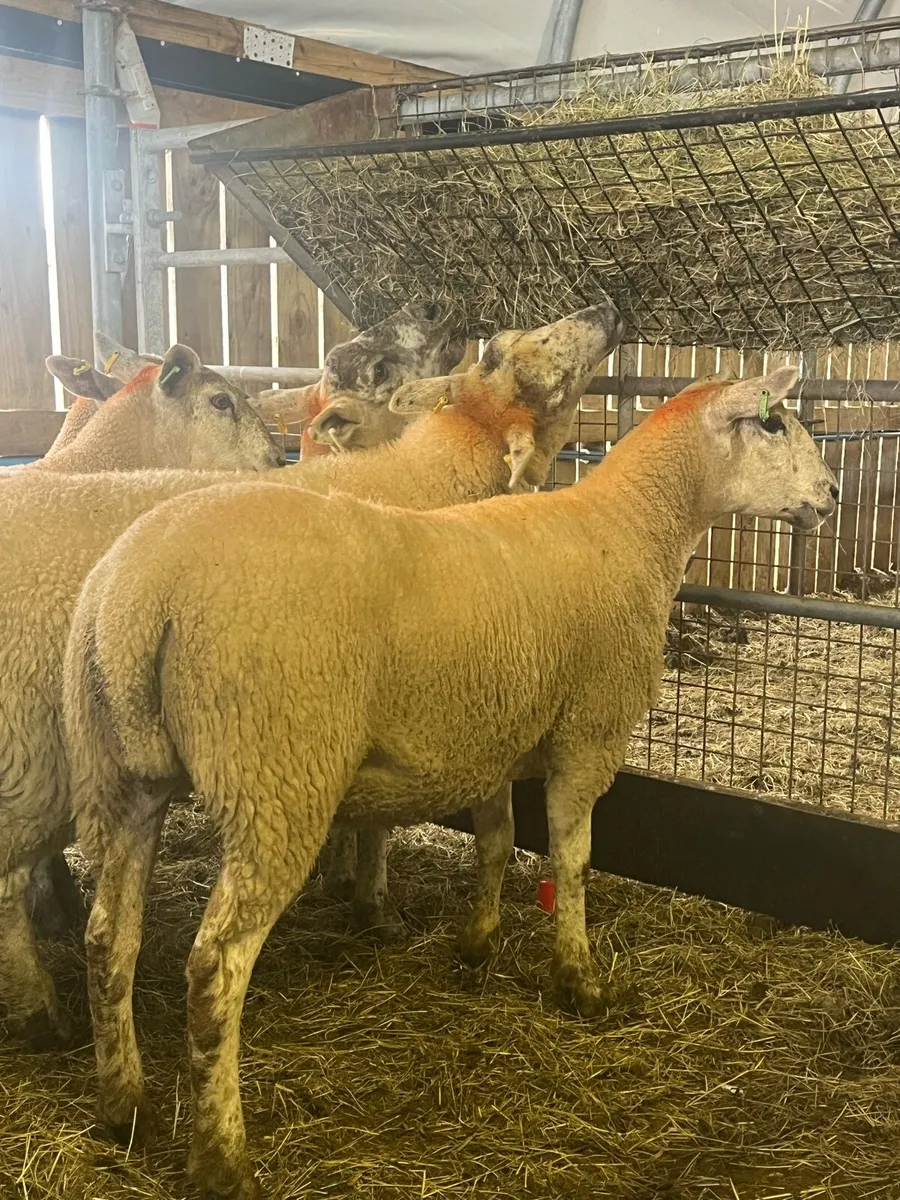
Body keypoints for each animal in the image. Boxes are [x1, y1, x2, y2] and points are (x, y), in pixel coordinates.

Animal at [0, 304, 619, 1054]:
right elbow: (380, 826)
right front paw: (373, 904)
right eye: (378, 366)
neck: (414, 474)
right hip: (31, 752)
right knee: (7, 885)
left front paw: (344, 881)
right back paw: (39, 1009)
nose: (438, 311)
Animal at [63, 365, 838, 1198]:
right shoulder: (587, 735)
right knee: (215, 968)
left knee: (108, 937)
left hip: (122, 775)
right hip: (278, 776)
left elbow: (496, 844)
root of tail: (140, 591)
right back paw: (222, 1157)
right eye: (775, 424)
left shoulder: (492, 736)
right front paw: (581, 980)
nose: (831, 492)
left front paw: (478, 942)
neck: (632, 527)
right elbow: (572, 863)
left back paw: (123, 1107)